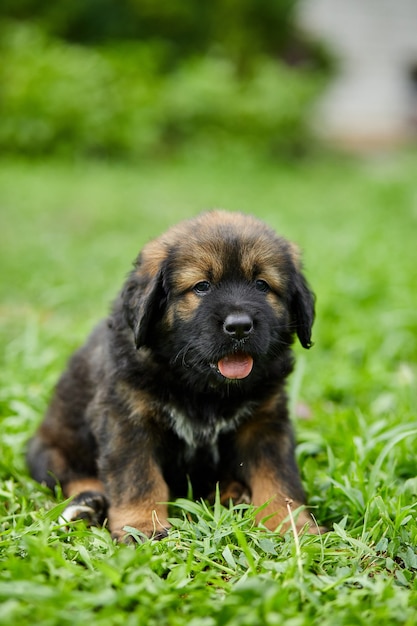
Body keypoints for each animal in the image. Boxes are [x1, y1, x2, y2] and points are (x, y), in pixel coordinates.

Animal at [27, 212, 320, 540]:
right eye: (202, 286)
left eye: (261, 285)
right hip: (49, 449)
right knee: (70, 474)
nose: (239, 326)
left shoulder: (265, 423)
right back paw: (87, 504)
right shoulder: (127, 420)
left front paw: (290, 525)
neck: (203, 388)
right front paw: (143, 527)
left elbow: (278, 477)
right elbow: (138, 478)